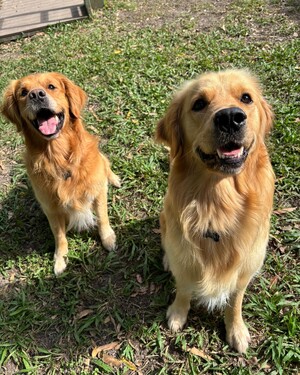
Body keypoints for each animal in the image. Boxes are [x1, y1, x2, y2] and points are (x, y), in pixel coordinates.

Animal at [1, 72, 120, 276]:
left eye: (51, 86)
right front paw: (60, 259)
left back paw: (114, 179)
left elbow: (103, 217)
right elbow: (59, 235)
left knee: (106, 164)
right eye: (23, 92)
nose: (36, 95)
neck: (58, 157)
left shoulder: (97, 193)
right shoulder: (50, 208)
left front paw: (108, 238)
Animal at [156, 69, 276, 354]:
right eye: (199, 104)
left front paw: (236, 330)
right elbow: (183, 289)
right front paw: (178, 314)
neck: (218, 203)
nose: (230, 117)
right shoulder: (184, 261)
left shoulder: (245, 269)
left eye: (246, 98)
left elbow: (235, 301)